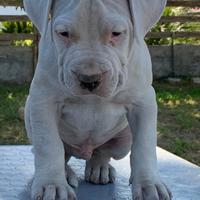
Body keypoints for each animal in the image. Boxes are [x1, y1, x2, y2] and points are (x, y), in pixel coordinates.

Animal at [23, 0, 170, 199]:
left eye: (116, 33)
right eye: (63, 33)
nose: (89, 79)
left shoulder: (143, 102)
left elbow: (144, 145)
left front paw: (149, 184)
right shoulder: (43, 101)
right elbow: (49, 145)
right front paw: (51, 185)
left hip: (124, 140)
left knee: (102, 153)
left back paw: (99, 168)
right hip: (29, 115)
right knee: (59, 154)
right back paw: (66, 174)